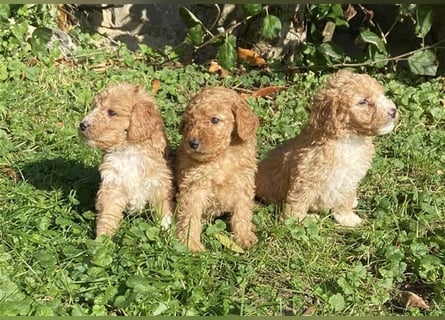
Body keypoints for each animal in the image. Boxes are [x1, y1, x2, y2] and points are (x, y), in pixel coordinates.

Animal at [79, 82, 173, 238]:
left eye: (112, 112)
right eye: (94, 107)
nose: (82, 124)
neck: (129, 150)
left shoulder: (159, 183)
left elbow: (164, 212)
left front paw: (168, 234)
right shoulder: (113, 185)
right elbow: (108, 215)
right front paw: (102, 239)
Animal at [175, 87, 258, 252]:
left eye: (214, 120)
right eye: (190, 122)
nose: (192, 143)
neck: (222, 156)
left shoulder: (243, 183)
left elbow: (242, 213)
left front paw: (244, 237)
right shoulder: (194, 187)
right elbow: (190, 216)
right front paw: (191, 244)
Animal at [255, 70, 398, 225]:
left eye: (381, 94)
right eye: (363, 102)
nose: (393, 111)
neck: (349, 141)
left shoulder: (350, 178)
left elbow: (345, 199)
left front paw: (346, 217)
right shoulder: (305, 178)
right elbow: (298, 202)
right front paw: (295, 221)